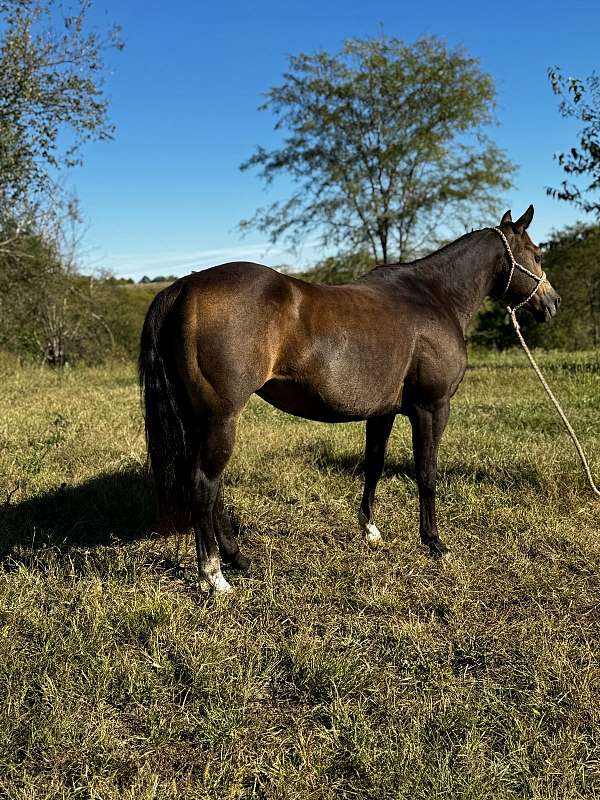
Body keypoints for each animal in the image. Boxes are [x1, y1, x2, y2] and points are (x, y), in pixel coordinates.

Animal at [138, 206, 560, 592]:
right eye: (537, 254)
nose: (552, 303)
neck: (433, 297)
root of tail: (185, 286)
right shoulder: (431, 408)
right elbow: (426, 473)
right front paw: (435, 544)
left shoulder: (384, 412)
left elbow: (373, 464)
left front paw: (370, 530)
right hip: (221, 418)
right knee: (204, 485)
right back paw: (214, 576)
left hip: (201, 421)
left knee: (212, 490)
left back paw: (238, 558)